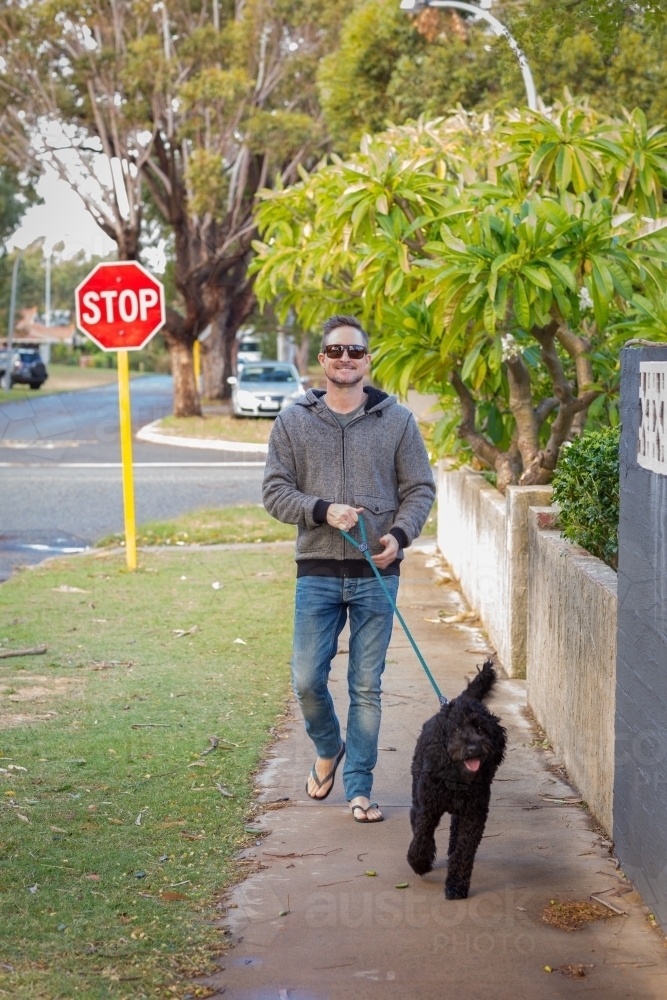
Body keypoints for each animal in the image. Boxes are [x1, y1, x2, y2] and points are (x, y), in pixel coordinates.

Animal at [408, 660, 506, 904]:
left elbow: (464, 852)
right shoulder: (428, 808)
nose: (472, 749)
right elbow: (422, 835)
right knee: (415, 817)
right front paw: (420, 862)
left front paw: (456, 885)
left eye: (480, 728)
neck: (456, 779)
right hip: (418, 790)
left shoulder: (474, 814)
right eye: (456, 729)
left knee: (454, 829)